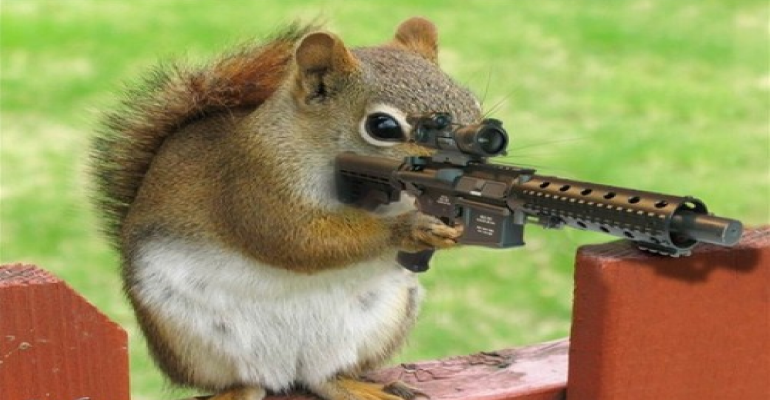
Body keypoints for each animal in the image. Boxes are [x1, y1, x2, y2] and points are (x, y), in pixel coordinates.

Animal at [91, 17, 482, 400]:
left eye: (473, 102)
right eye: (383, 126)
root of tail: (284, 371)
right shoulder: (254, 180)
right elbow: (298, 240)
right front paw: (411, 227)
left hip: (381, 320)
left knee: (323, 378)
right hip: (185, 336)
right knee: (241, 381)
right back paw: (235, 391)